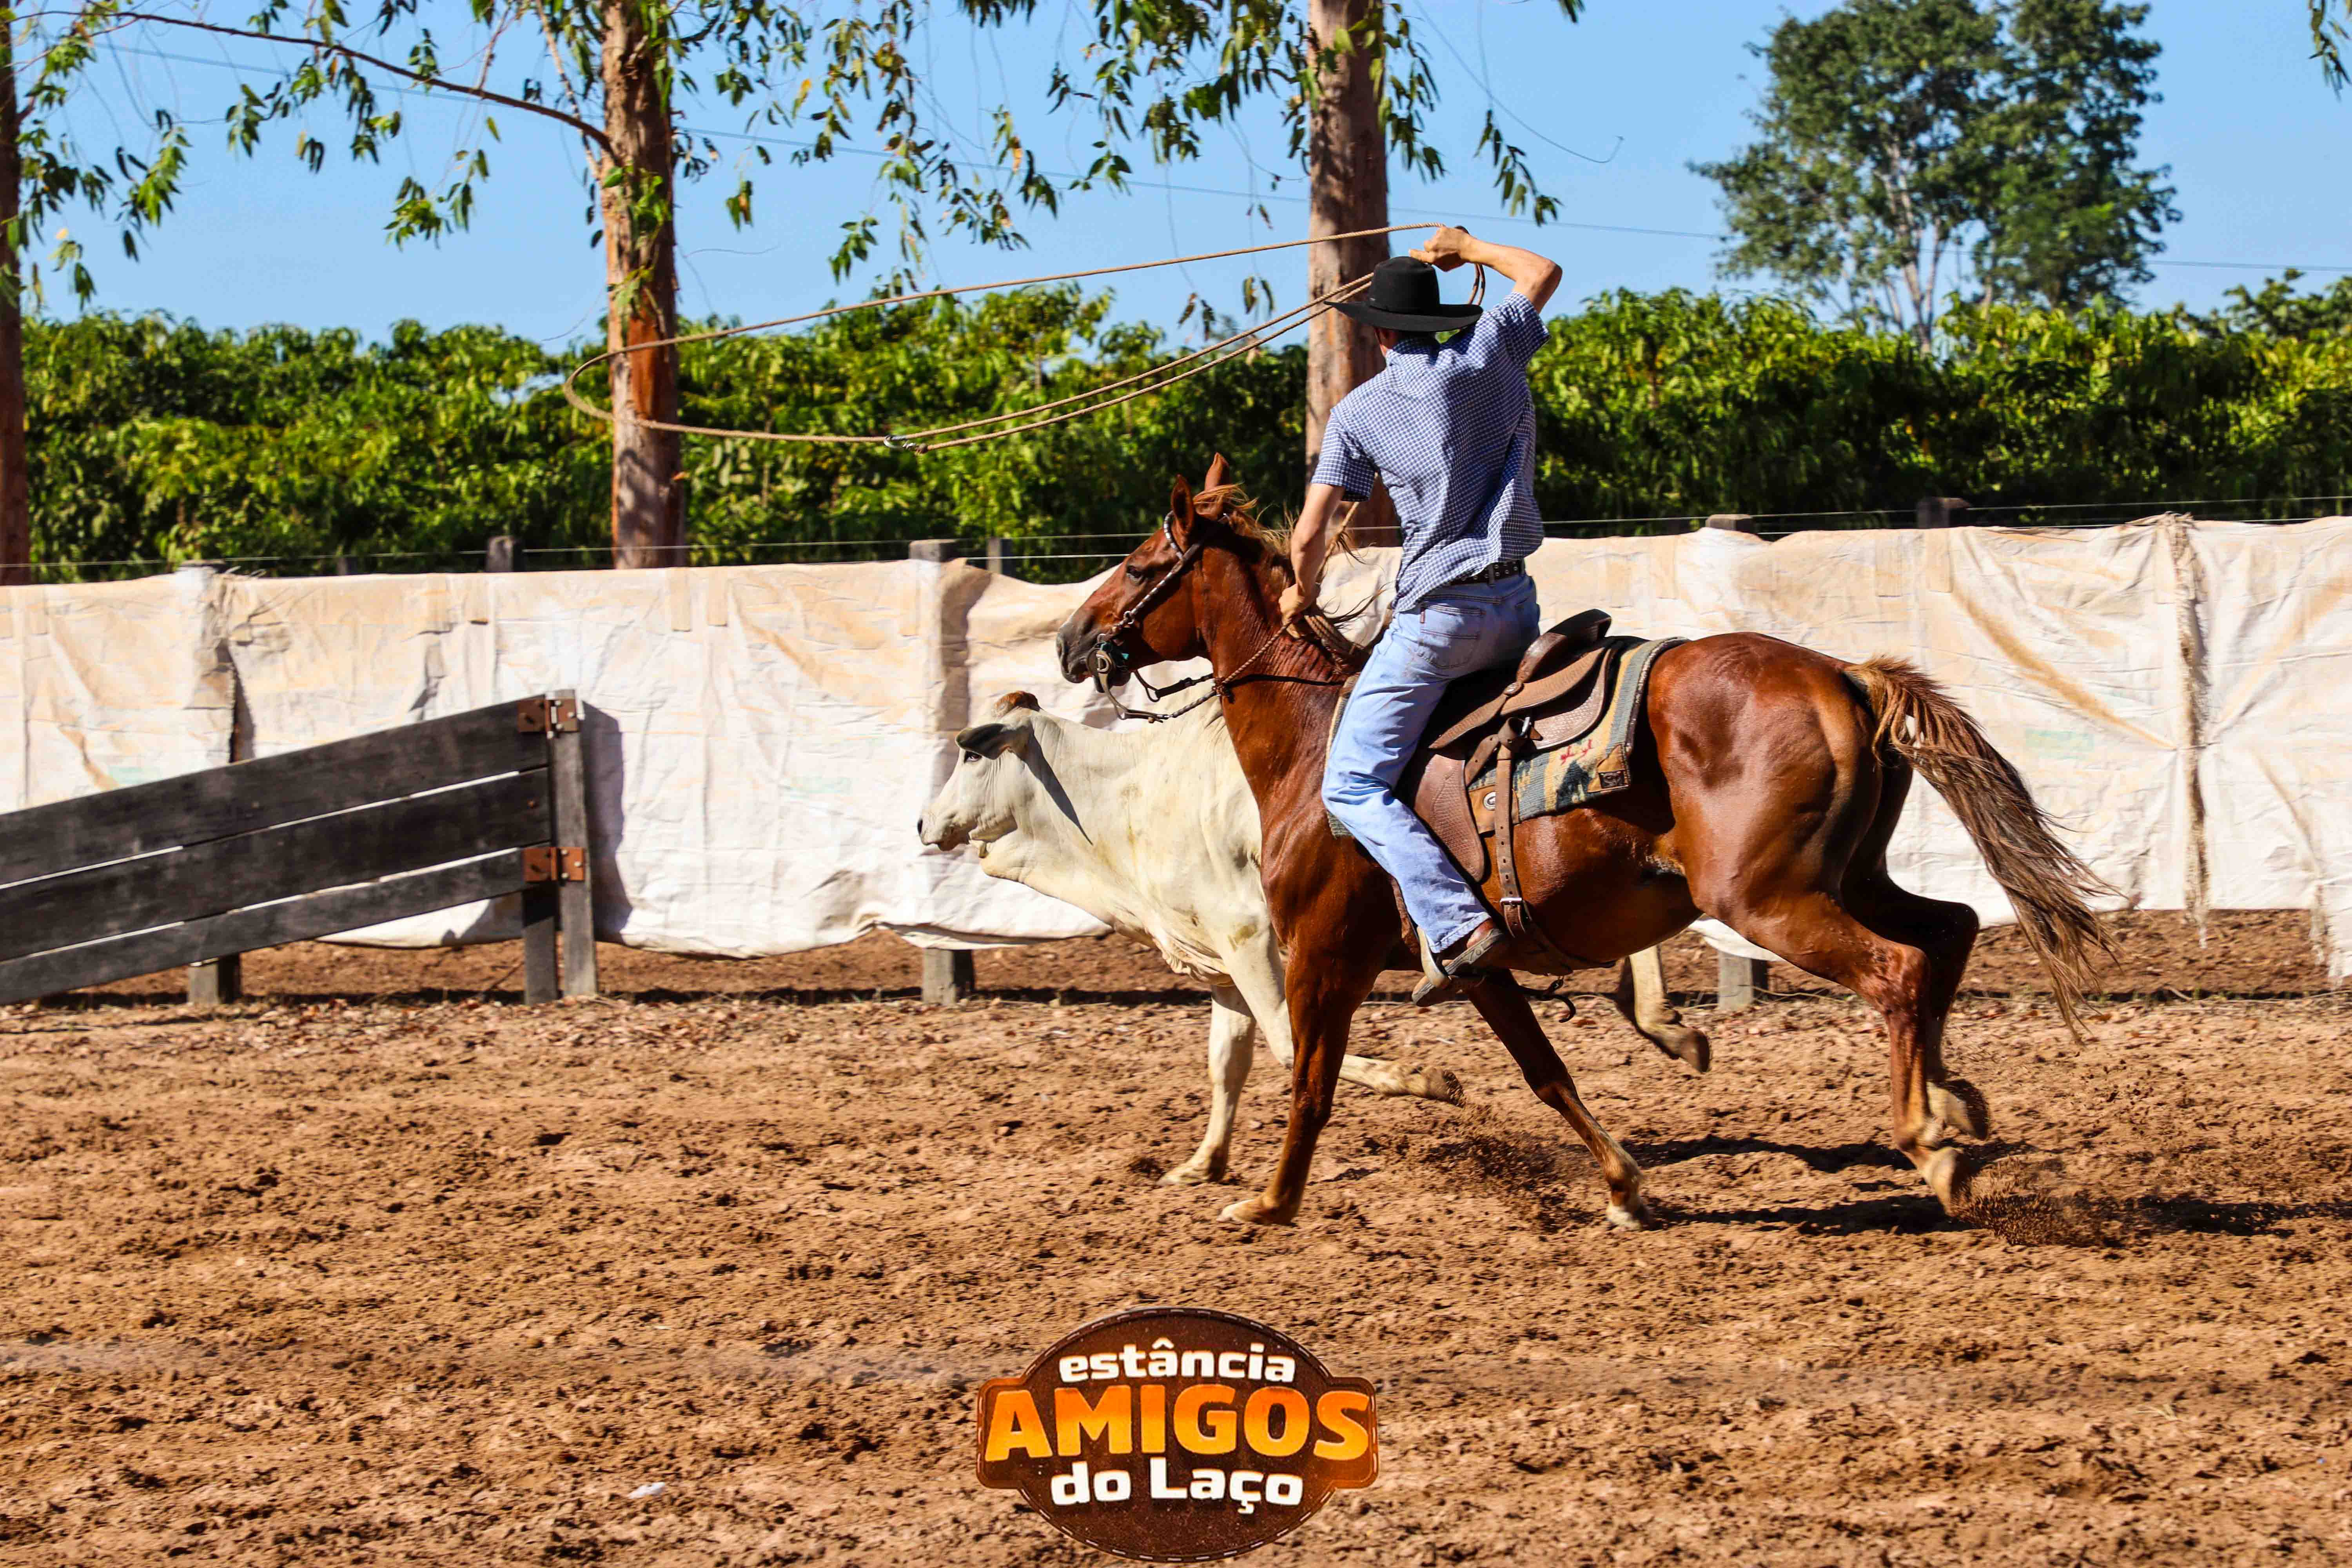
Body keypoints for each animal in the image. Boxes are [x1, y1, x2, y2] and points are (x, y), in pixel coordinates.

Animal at [917, 691, 1709, 1186]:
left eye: (973, 753)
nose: (925, 822)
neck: (1131, 797)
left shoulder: (1252, 937)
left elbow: (1285, 1044)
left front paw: (1425, 1080)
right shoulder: (1219, 964)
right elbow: (1228, 1063)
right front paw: (1203, 1163)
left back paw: (1665, 1023)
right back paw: (1666, 1025)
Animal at [1054, 457, 2111, 1231]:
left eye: (1142, 564)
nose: (1070, 641)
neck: (1318, 746)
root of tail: (1843, 674)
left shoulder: (1320, 952)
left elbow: (1310, 1079)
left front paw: (1270, 1202)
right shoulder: (1476, 962)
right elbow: (1546, 1072)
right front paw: (1625, 1188)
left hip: (1768, 897)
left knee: (1898, 969)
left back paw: (1930, 1139)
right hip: (1847, 875)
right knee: (1951, 929)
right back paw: (1958, 1103)